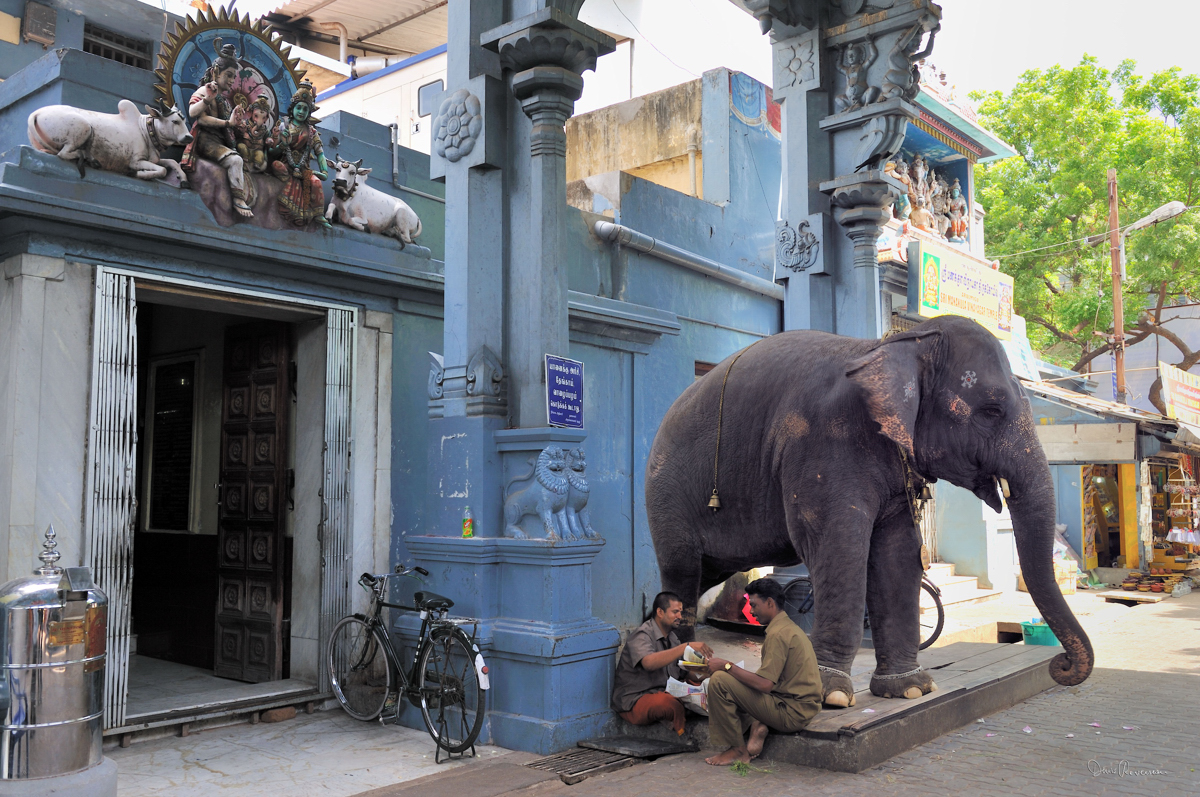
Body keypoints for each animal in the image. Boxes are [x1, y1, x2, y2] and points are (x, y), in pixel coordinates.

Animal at [648, 314, 1099, 705]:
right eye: (991, 410)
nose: (1060, 665)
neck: (889, 347)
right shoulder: (824, 443)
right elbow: (839, 544)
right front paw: (829, 695)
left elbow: (896, 553)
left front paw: (911, 689)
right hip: (666, 493)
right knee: (682, 572)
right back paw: (687, 672)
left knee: (701, 575)